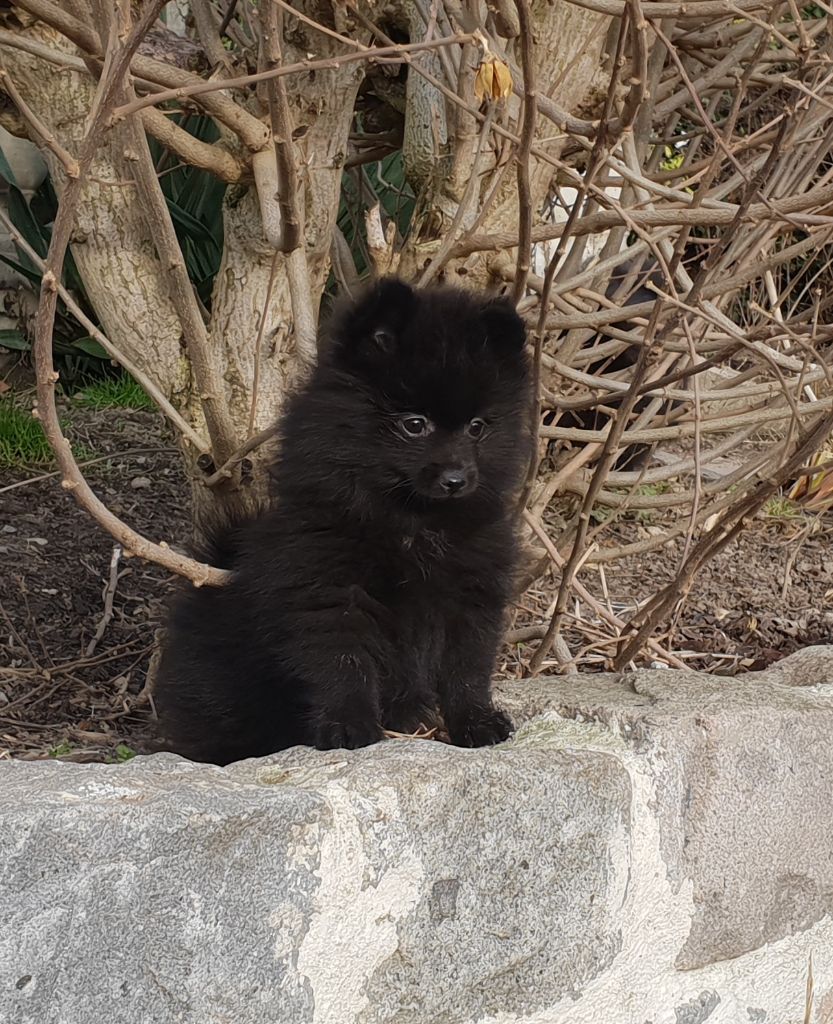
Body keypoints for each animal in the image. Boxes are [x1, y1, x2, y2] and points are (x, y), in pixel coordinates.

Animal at [154, 278, 532, 761]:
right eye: (414, 424)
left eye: (477, 427)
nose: (456, 478)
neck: (411, 524)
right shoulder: (331, 591)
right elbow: (344, 663)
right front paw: (348, 725)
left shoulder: (469, 595)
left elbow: (466, 668)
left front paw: (477, 722)